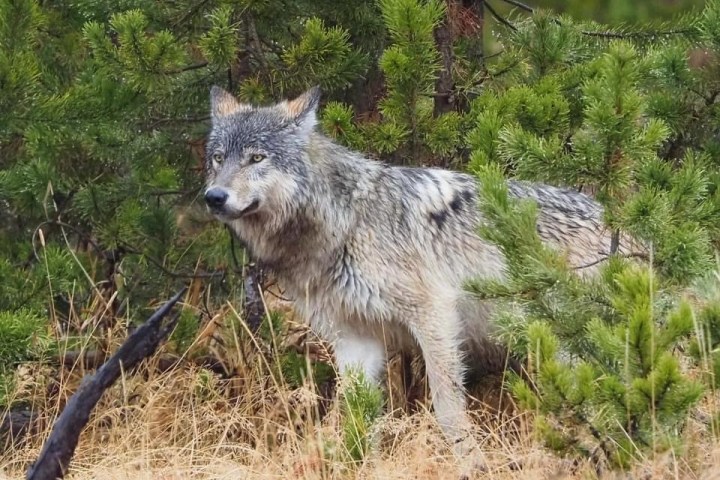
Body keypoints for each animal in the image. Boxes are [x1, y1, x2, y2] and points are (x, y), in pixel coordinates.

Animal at [203, 86, 624, 472]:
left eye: (257, 158)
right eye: (219, 158)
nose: (214, 197)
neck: (343, 221)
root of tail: (624, 228)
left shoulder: (434, 315)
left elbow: (447, 407)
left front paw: (471, 465)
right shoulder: (355, 337)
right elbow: (355, 414)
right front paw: (358, 466)